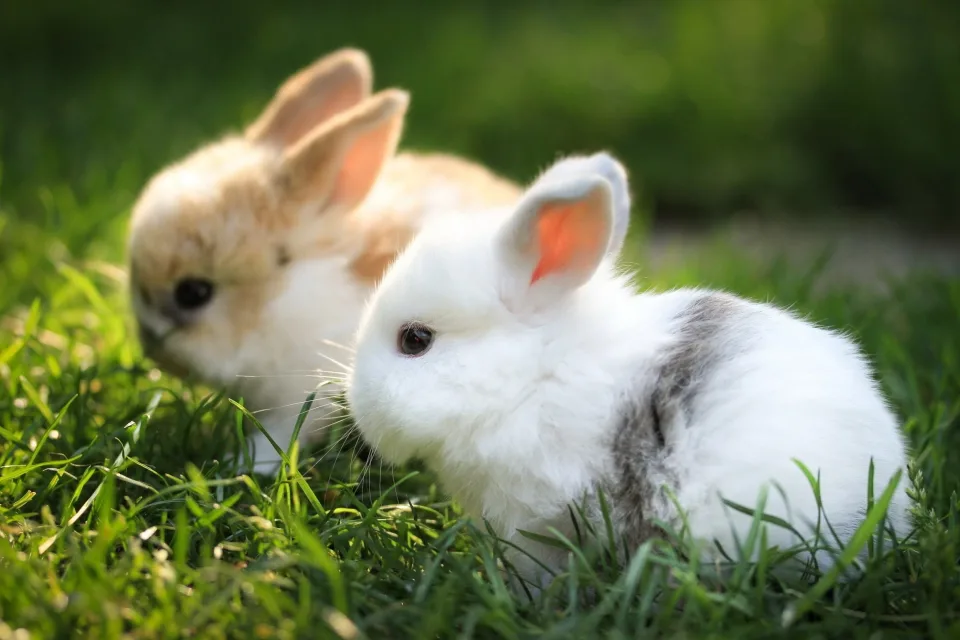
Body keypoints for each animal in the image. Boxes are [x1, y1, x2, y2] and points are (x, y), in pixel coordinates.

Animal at [127, 48, 521, 473]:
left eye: (194, 292)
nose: (155, 353)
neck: (284, 296)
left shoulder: (303, 394)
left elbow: (281, 434)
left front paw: (241, 465)